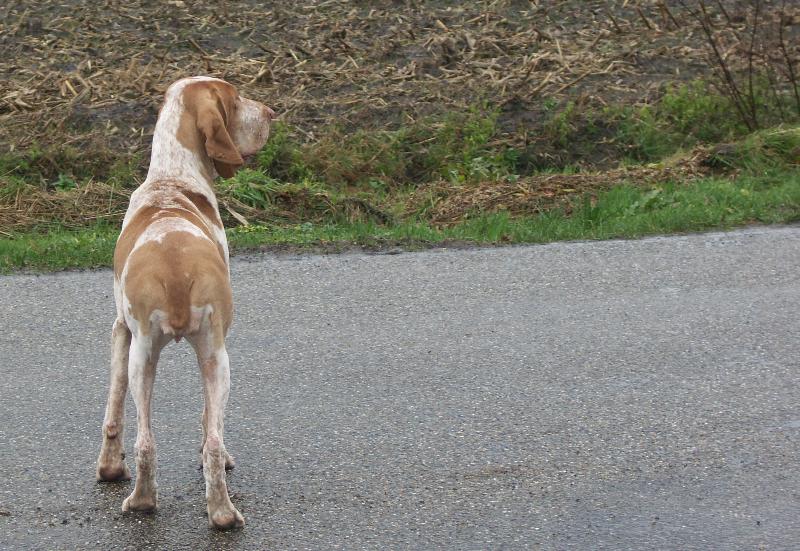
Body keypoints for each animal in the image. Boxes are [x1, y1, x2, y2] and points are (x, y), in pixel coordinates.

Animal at [94, 75, 272, 528]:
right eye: (236, 99)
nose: (270, 113)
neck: (171, 180)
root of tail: (176, 269)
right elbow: (209, 424)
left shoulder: (120, 333)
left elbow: (113, 408)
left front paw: (109, 468)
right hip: (215, 358)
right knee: (210, 440)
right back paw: (222, 513)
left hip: (147, 357)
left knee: (146, 442)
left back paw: (143, 502)